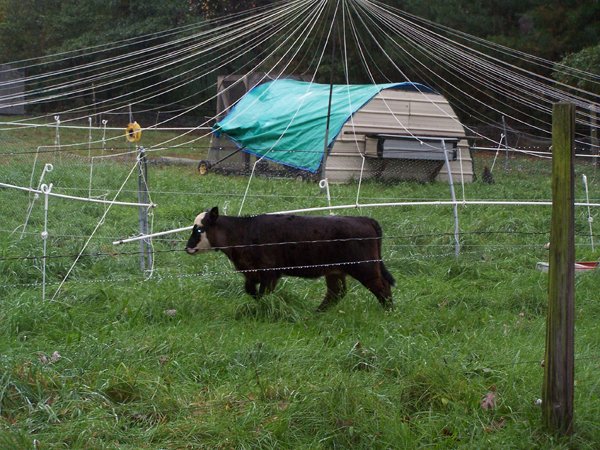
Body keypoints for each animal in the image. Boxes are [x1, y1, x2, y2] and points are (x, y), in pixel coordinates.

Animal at [185, 207, 396, 310]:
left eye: (200, 229)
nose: (187, 248)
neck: (244, 232)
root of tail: (363, 219)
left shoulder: (270, 273)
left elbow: (264, 294)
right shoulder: (251, 273)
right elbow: (251, 291)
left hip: (365, 267)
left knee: (382, 287)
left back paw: (388, 312)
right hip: (335, 270)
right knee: (336, 293)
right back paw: (316, 313)